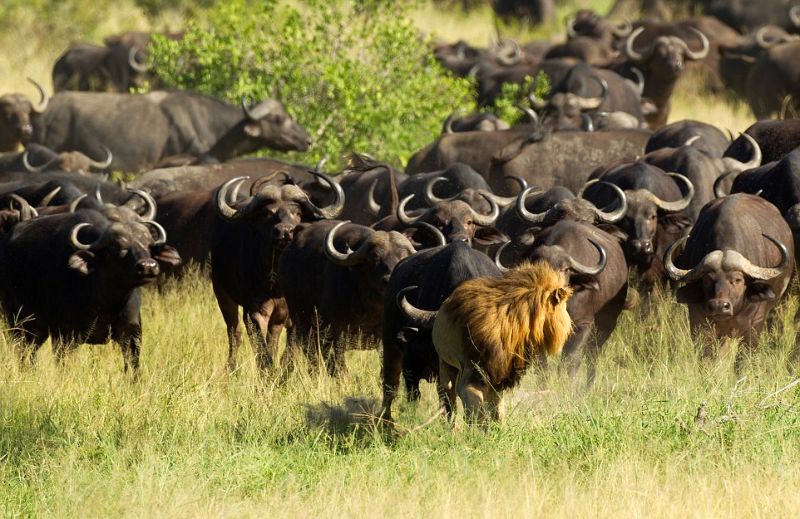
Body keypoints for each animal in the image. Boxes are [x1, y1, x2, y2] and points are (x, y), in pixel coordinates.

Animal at [432, 262, 576, 424]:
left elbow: (494, 407)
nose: (570, 322)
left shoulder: (499, 371)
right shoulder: (476, 367)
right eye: (564, 307)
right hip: (447, 363)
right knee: (450, 395)